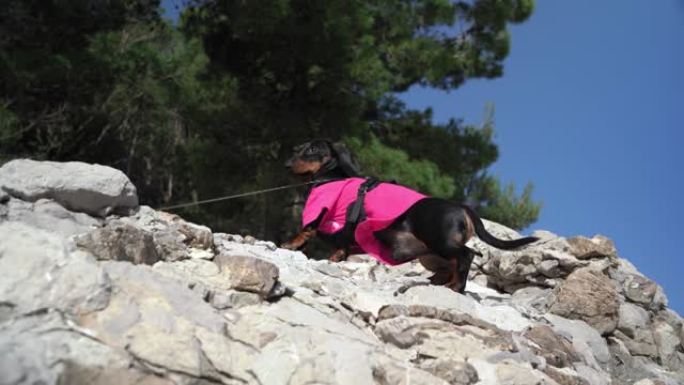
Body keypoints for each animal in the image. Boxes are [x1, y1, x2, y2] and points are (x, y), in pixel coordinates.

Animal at [280, 138, 536, 292]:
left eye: (313, 149)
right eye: (298, 149)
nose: (287, 165)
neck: (331, 178)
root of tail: (461, 206)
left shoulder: (317, 212)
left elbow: (304, 231)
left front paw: (288, 245)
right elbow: (340, 249)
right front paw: (334, 258)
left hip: (441, 242)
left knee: (467, 255)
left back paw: (456, 286)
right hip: (431, 254)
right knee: (452, 264)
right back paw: (440, 282)